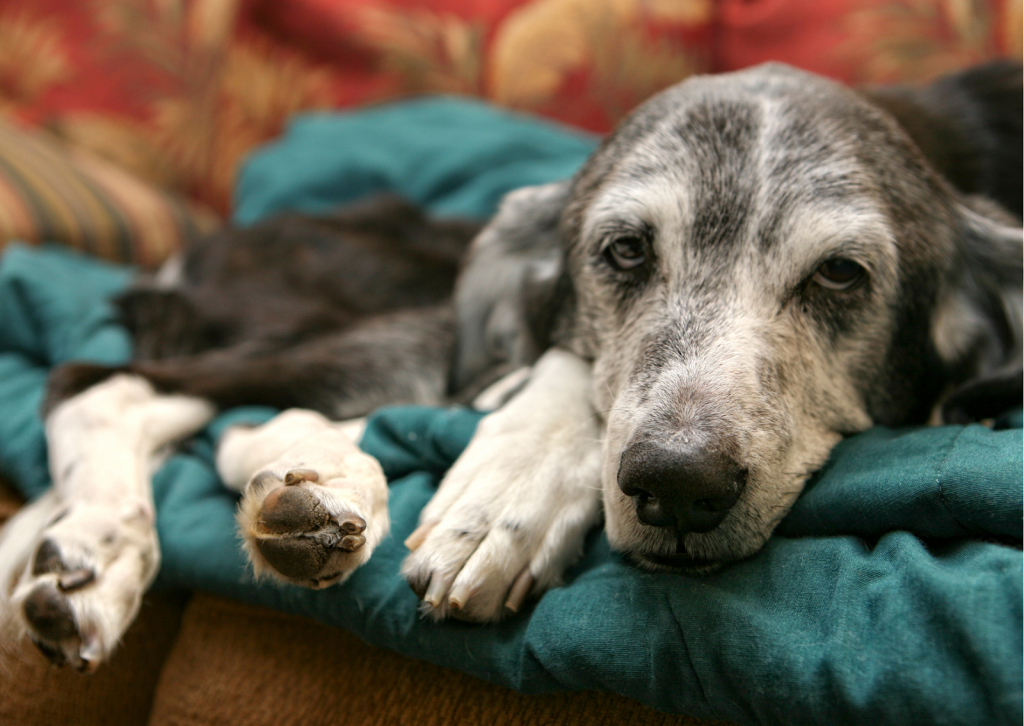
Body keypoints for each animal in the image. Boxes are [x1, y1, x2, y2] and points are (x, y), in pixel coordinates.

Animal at [2, 63, 1024, 667]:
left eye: (841, 274)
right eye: (623, 252)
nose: (677, 486)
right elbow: (567, 370)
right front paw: (505, 499)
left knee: (218, 420)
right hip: (409, 327)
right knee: (101, 385)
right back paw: (120, 543)